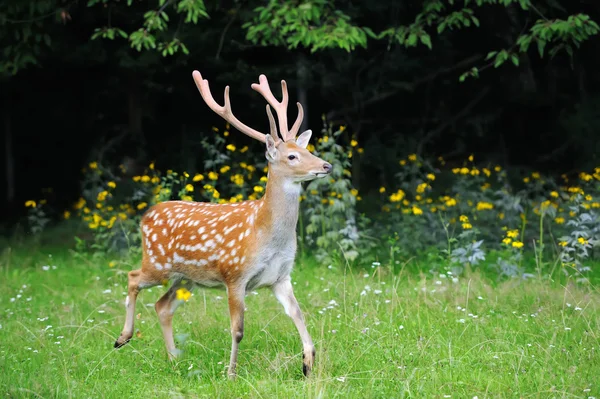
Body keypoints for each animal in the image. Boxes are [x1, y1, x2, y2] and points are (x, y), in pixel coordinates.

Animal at [113, 70, 332, 380]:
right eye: (292, 156)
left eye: (308, 149)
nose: (326, 166)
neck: (268, 235)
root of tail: (145, 215)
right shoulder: (235, 275)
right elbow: (238, 329)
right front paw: (231, 373)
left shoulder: (281, 277)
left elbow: (298, 315)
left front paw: (308, 364)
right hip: (157, 263)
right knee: (133, 277)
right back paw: (123, 337)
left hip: (187, 278)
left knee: (162, 305)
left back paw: (173, 358)